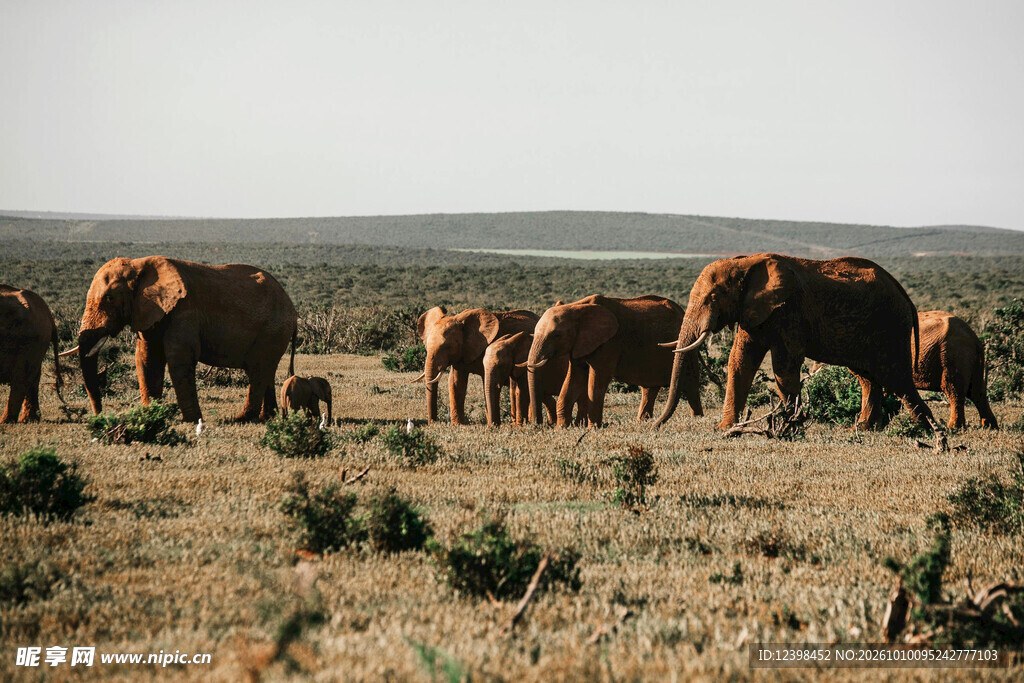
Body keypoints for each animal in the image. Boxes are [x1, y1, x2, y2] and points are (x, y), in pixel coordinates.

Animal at [65, 256, 297, 423]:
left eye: (109, 298)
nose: (99, 415)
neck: (138, 264)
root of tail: (292, 308)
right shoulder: (150, 313)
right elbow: (147, 358)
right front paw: (152, 416)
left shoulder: (184, 311)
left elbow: (179, 358)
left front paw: (192, 421)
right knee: (264, 370)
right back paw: (266, 418)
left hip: (272, 329)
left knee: (258, 370)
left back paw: (241, 419)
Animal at [522, 295, 704, 427]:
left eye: (556, 335)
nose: (537, 424)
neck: (576, 307)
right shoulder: (579, 344)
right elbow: (573, 380)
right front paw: (562, 428)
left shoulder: (609, 343)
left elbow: (597, 381)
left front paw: (593, 428)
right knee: (650, 388)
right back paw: (641, 422)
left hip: (687, 347)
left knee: (691, 384)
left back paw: (697, 419)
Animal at [654, 253, 939, 432]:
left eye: (713, 298)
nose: (654, 426)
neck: (746, 262)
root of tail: (904, 294)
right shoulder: (753, 310)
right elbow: (740, 361)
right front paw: (725, 428)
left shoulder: (790, 309)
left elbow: (784, 363)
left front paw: (789, 427)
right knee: (867, 377)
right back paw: (864, 429)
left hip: (889, 326)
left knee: (896, 378)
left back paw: (929, 431)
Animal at [811, 311, 997, 430]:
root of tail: (973, 337)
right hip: (971, 358)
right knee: (977, 391)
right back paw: (989, 427)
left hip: (952, 355)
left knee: (954, 390)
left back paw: (953, 428)